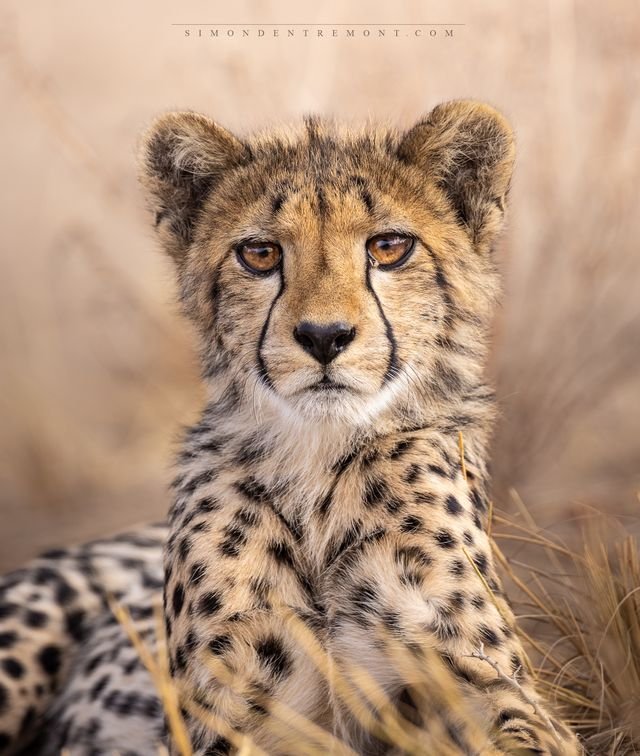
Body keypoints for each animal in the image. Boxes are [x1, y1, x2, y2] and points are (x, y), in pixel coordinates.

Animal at [0, 100, 583, 755]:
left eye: (389, 246)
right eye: (260, 254)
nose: (324, 336)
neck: (318, 463)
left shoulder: (481, 680)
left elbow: (517, 728)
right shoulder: (223, 712)